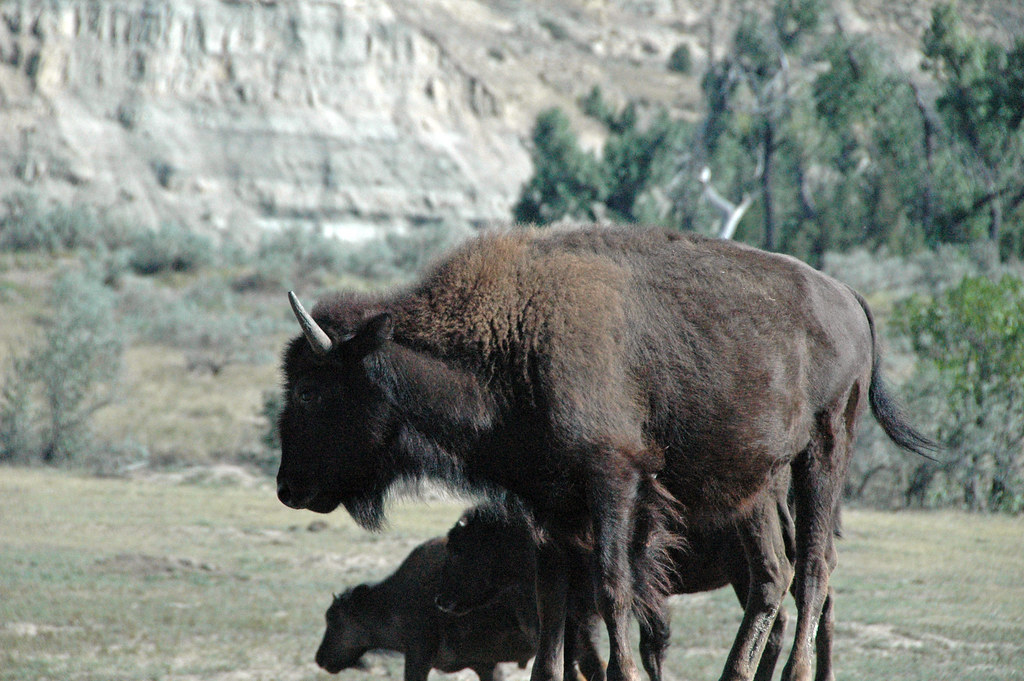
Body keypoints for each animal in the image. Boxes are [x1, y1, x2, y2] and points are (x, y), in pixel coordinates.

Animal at [277, 224, 935, 681]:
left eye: (310, 389)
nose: (287, 487)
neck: (514, 333)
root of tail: (846, 295)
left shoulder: (615, 482)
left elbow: (616, 592)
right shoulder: (548, 511)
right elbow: (554, 624)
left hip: (823, 451)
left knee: (815, 570)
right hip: (754, 485)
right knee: (774, 576)